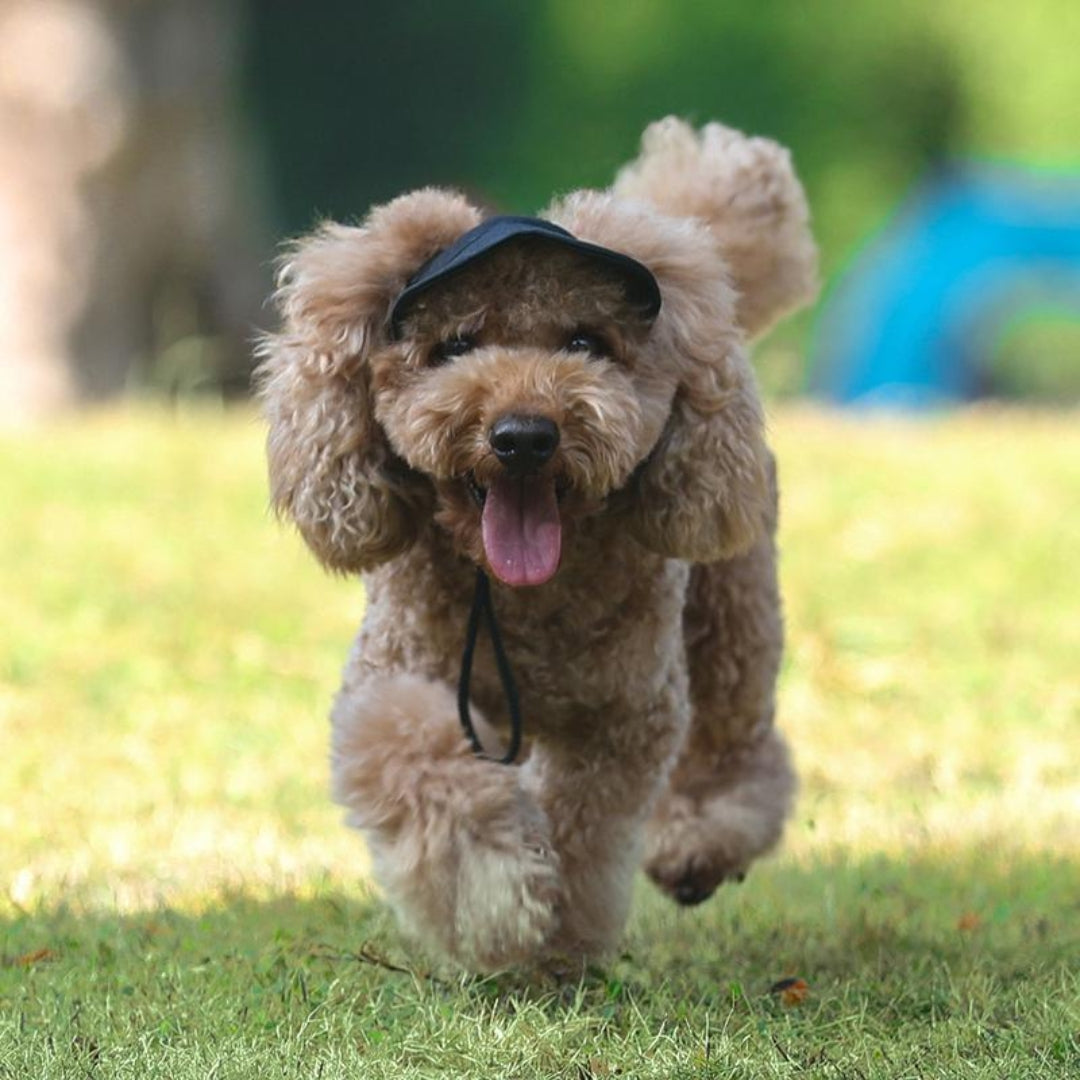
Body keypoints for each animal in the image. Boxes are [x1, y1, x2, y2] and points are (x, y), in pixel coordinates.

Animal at [257, 118, 812, 972]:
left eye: (585, 340)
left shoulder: (621, 718)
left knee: (735, 736)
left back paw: (700, 844)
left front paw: (556, 938)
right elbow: (417, 760)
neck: (528, 603)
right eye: (455, 345)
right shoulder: (397, 681)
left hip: (732, 610)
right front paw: (497, 901)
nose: (523, 436)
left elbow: (585, 830)